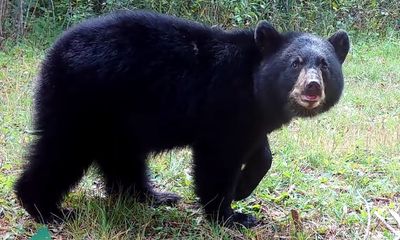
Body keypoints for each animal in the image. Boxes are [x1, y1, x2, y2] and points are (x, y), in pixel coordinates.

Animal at [14, 9, 348, 227]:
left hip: (117, 117)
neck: (253, 82)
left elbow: (259, 148)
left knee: (122, 158)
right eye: (295, 63)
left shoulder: (251, 114)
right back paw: (47, 209)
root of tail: (53, 52)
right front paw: (231, 215)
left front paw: (243, 187)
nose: (312, 87)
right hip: (83, 100)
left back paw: (152, 196)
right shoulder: (224, 102)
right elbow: (218, 159)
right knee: (63, 150)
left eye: (325, 65)